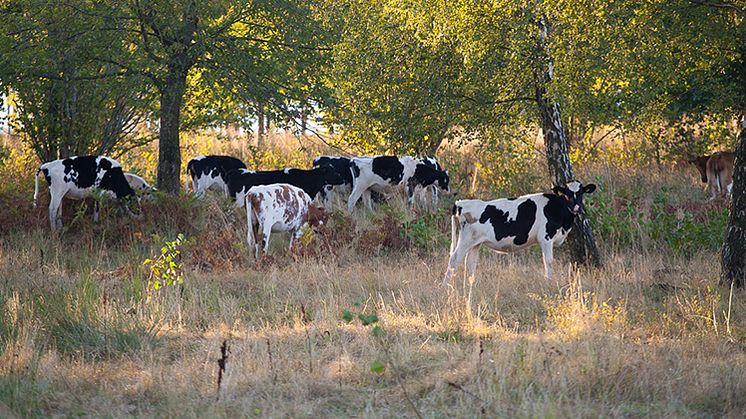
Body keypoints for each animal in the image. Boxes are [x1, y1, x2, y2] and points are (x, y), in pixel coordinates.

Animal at [442, 181, 592, 286]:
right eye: (567, 194)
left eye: (581, 193)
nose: (577, 207)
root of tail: (461, 203)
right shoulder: (545, 238)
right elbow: (548, 261)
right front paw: (549, 282)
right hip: (466, 239)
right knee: (454, 259)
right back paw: (445, 288)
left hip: (475, 243)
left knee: (470, 263)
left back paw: (470, 286)